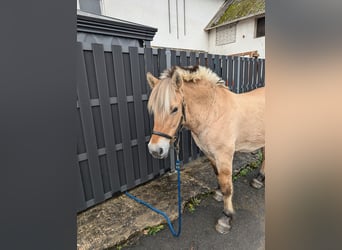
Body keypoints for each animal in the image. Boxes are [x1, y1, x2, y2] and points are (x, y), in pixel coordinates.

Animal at [146, 65, 266, 233]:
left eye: (174, 109)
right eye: (153, 109)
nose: (155, 150)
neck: (213, 113)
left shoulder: (224, 156)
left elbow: (227, 187)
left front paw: (226, 218)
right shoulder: (210, 154)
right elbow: (218, 177)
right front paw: (219, 194)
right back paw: (259, 179)